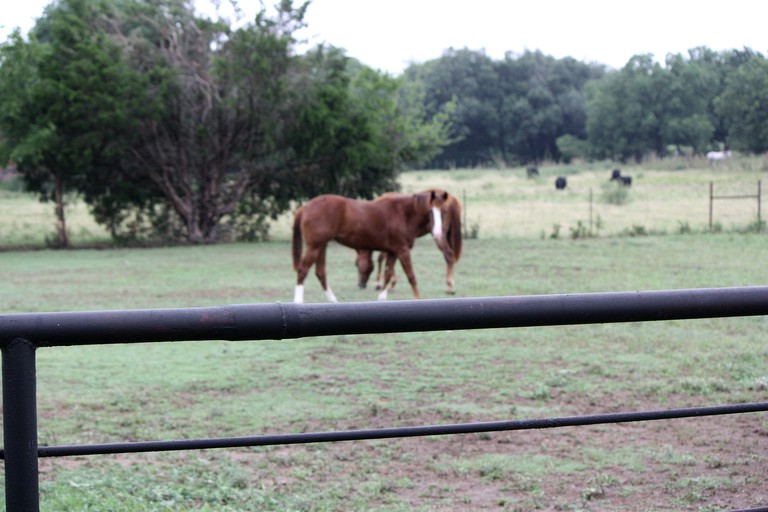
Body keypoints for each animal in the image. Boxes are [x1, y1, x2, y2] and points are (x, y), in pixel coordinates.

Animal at [292, 189, 462, 302]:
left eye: (444, 211)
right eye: (430, 211)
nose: (437, 232)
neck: (403, 214)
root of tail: (306, 207)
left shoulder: (393, 251)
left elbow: (388, 272)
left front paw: (382, 296)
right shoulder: (402, 250)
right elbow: (411, 276)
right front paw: (418, 299)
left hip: (321, 246)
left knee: (320, 273)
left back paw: (332, 300)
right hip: (314, 247)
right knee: (303, 270)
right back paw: (299, 302)